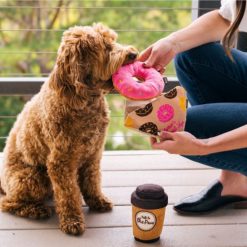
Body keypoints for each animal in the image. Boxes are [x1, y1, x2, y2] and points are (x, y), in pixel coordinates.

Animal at [0, 23, 138, 235]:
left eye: (113, 40)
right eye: (105, 47)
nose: (133, 54)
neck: (86, 100)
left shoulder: (93, 154)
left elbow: (92, 181)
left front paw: (97, 201)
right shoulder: (61, 162)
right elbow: (68, 194)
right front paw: (72, 221)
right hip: (32, 178)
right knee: (7, 203)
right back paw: (36, 210)